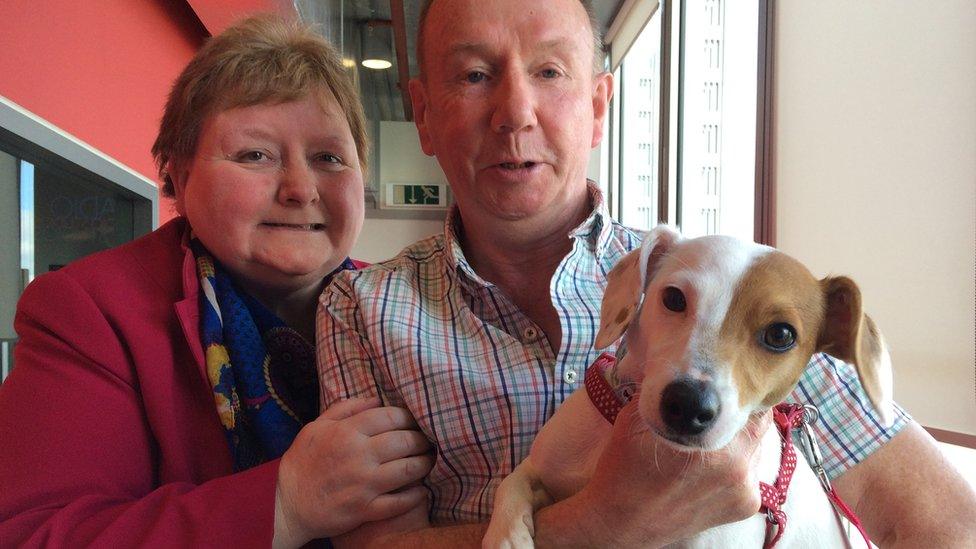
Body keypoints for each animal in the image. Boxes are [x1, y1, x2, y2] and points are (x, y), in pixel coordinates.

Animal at [484, 225, 896, 544]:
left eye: (781, 334)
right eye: (673, 297)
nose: (688, 405)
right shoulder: (542, 466)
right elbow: (511, 484)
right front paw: (506, 535)